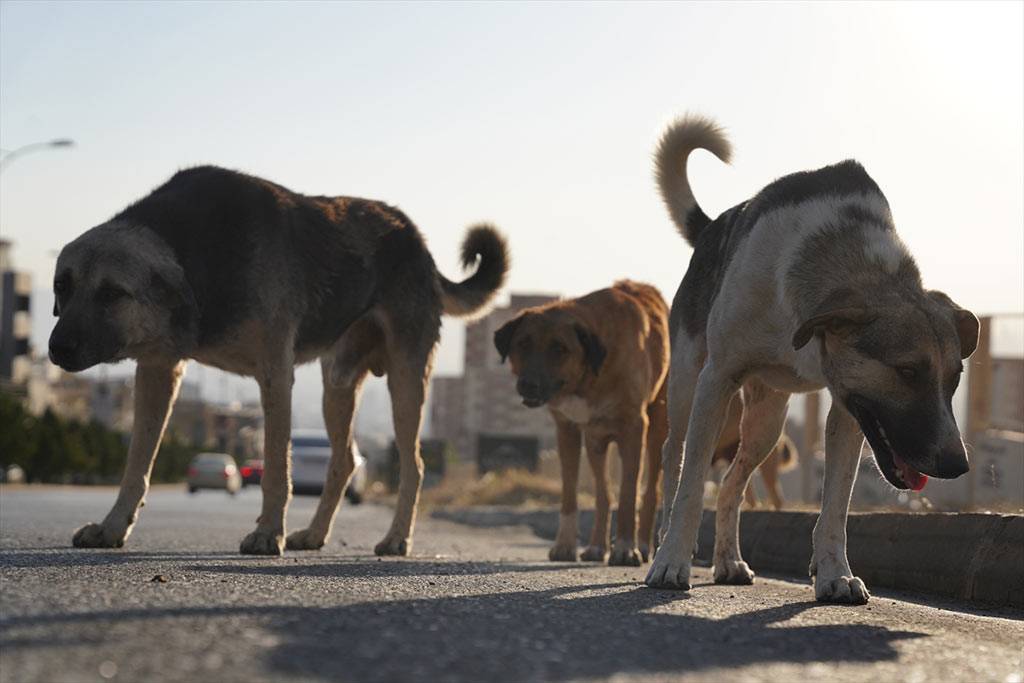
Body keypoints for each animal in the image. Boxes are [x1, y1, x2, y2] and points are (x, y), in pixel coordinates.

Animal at [51, 165, 507, 557]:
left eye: (112, 293)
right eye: (62, 286)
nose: (57, 349)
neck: (197, 252)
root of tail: (416, 239)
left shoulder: (275, 373)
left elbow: (274, 466)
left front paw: (269, 533)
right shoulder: (158, 371)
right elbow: (136, 464)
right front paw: (112, 527)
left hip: (407, 379)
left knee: (414, 464)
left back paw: (397, 539)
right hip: (338, 384)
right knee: (344, 460)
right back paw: (316, 534)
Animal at [493, 278, 671, 565]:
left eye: (560, 348)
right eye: (523, 344)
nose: (528, 385)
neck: (591, 375)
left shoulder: (634, 427)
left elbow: (628, 493)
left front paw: (625, 548)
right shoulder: (567, 430)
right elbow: (570, 493)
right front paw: (565, 545)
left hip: (657, 429)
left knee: (650, 491)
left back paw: (643, 546)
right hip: (595, 441)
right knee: (602, 493)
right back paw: (597, 547)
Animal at [643, 116, 978, 602]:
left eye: (955, 379)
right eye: (908, 371)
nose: (957, 466)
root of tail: (710, 230)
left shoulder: (850, 408)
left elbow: (835, 506)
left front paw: (835, 574)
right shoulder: (718, 378)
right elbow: (690, 489)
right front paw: (672, 562)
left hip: (766, 423)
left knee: (731, 484)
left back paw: (729, 561)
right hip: (688, 386)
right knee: (675, 461)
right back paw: (663, 545)